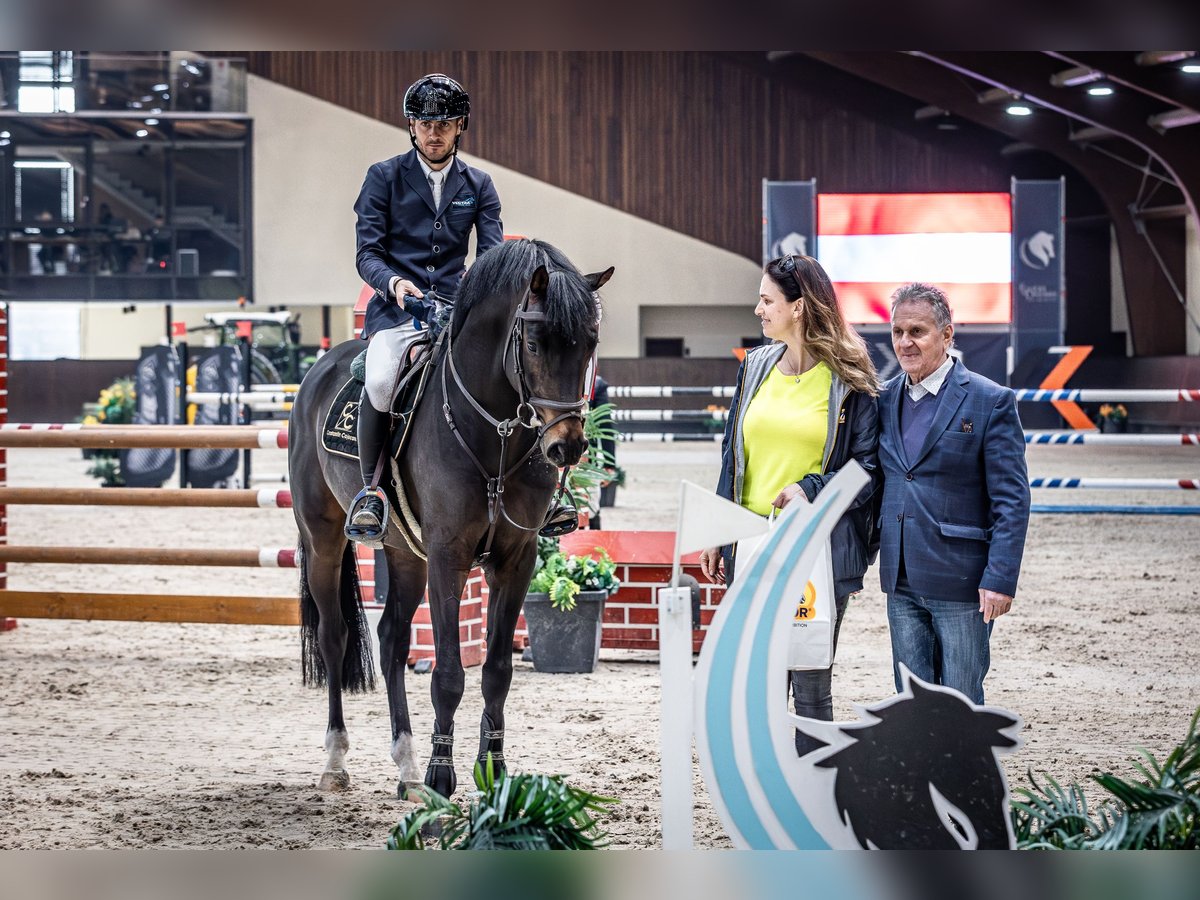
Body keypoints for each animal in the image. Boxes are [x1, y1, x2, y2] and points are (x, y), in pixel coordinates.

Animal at [288, 237, 609, 796]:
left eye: (589, 343)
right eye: (535, 343)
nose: (567, 446)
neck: (495, 433)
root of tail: (321, 368)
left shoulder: (516, 558)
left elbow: (497, 671)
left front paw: (492, 770)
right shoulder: (448, 556)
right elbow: (449, 674)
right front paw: (442, 775)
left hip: (404, 551)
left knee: (392, 640)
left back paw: (406, 765)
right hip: (324, 539)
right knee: (335, 637)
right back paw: (337, 760)